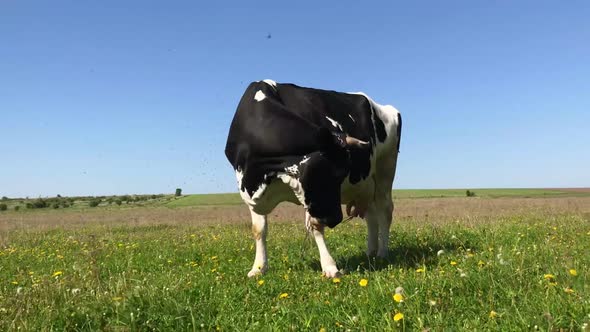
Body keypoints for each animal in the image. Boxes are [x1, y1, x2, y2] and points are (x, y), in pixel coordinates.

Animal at [225, 80, 402, 278]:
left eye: (342, 174)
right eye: (331, 175)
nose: (335, 219)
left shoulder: (309, 195)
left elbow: (315, 225)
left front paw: (330, 267)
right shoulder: (250, 188)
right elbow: (259, 229)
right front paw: (258, 268)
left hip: (385, 170)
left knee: (385, 210)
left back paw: (382, 253)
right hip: (365, 186)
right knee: (371, 215)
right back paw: (370, 252)